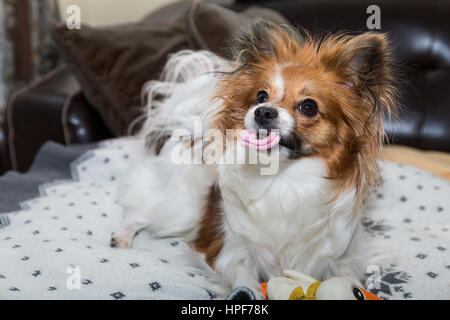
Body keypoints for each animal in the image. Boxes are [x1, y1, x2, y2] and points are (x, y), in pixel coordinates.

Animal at [111, 21, 398, 298]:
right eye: (261, 96)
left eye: (309, 107)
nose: (263, 112)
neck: (285, 178)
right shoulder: (226, 249)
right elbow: (244, 276)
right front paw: (249, 293)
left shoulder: (344, 254)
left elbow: (348, 276)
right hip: (180, 209)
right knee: (139, 210)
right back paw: (122, 237)